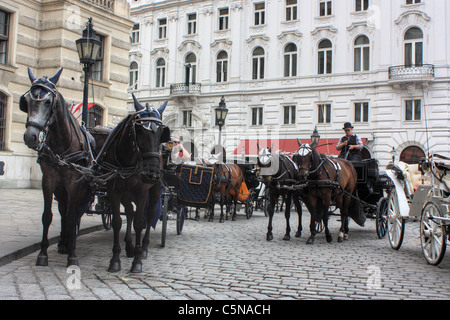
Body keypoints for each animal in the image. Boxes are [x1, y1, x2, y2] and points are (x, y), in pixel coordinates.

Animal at [20, 68, 94, 268]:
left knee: (71, 213)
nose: (30, 136)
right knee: (62, 210)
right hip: (61, 189)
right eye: (26, 102)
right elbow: (48, 216)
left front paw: (73, 256)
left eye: (47, 101)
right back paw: (63, 242)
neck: (63, 146)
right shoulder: (48, 180)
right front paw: (43, 254)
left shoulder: (75, 184)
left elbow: (72, 216)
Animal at [96, 95, 170, 272]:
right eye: (140, 130)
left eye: (162, 134)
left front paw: (137, 261)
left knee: (149, 216)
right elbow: (117, 222)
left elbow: (139, 223)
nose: (152, 173)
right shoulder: (114, 191)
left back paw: (143, 248)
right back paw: (129, 245)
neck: (127, 160)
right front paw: (115, 259)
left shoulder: (142, 192)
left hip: (155, 191)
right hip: (126, 193)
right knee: (129, 211)